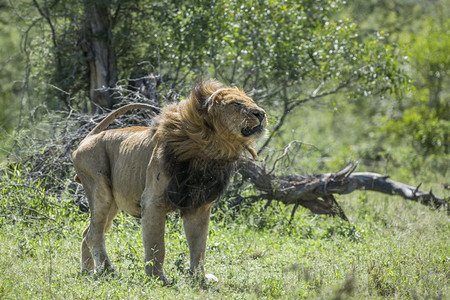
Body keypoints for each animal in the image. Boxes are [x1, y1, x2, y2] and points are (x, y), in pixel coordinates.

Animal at [71, 79, 266, 284]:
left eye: (251, 101)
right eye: (235, 104)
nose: (261, 114)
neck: (209, 150)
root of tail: (88, 138)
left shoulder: (199, 206)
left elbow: (199, 247)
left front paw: (200, 277)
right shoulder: (152, 201)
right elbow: (157, 245)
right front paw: (157, 277)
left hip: (112, 205)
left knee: (87, 232)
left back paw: (88, 270)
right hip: (100, 190)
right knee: (94, 234)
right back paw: (108, 270)